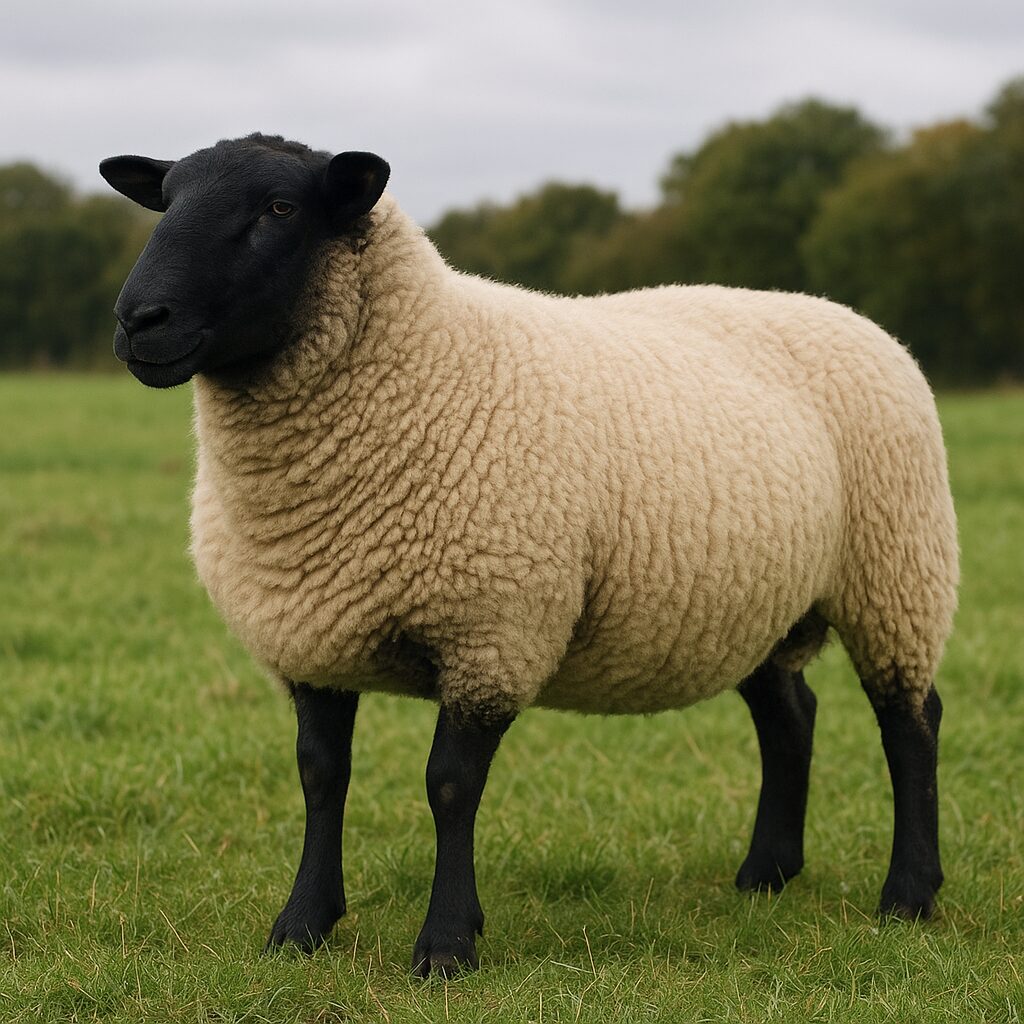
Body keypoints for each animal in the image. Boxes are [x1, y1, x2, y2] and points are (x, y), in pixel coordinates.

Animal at [99, 133, 959, 978]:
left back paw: (908, 897)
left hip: (897, 567)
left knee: (910, 721)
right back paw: (766, 875)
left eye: (279, 208)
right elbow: (320, 775)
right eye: (165, 200)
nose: (139, 319)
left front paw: (447, 946)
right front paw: (301, 928)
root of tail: (849, 317)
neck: (419, 368)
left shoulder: (493, 630)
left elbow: (449, 786)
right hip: (760, 599)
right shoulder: (309, 632)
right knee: (790, 716)